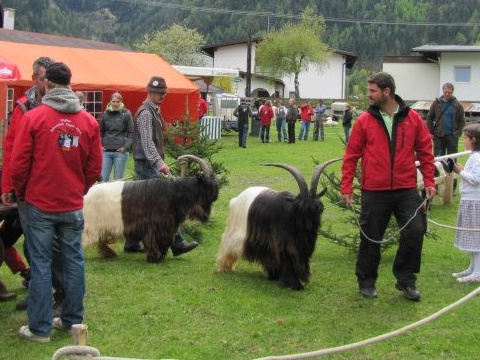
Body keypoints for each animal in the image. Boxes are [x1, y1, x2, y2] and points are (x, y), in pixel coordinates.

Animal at [82, 155, 219, 262]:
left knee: (101, 240)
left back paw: (109, 254)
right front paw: (156, 257)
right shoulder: (156, 224)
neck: (174, 193)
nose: (216, 196)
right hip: (92, 224)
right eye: (208, 184)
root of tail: (87, 193)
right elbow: (154, 240)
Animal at [216, 160, 340, 290]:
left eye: (318, 209)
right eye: (300, 209)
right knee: (228, 243)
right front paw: (294, 284)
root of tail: (236, 199)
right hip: (236, 231)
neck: (291, 215)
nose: (309, 227)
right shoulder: (283, 244)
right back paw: (223, 268)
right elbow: (287, 260)